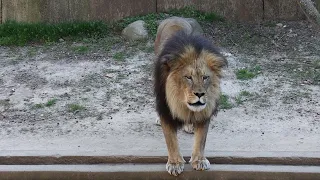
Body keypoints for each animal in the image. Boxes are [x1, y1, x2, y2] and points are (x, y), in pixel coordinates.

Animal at [154, 17, 228, 176]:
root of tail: (175, 17)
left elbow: (201, 139)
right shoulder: (165, 109)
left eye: (205, 77)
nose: (200, 94)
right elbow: (170, 139)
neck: (179, 100)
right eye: (188, 77)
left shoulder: (206, 110)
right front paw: (175, 163)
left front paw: (199, 160)